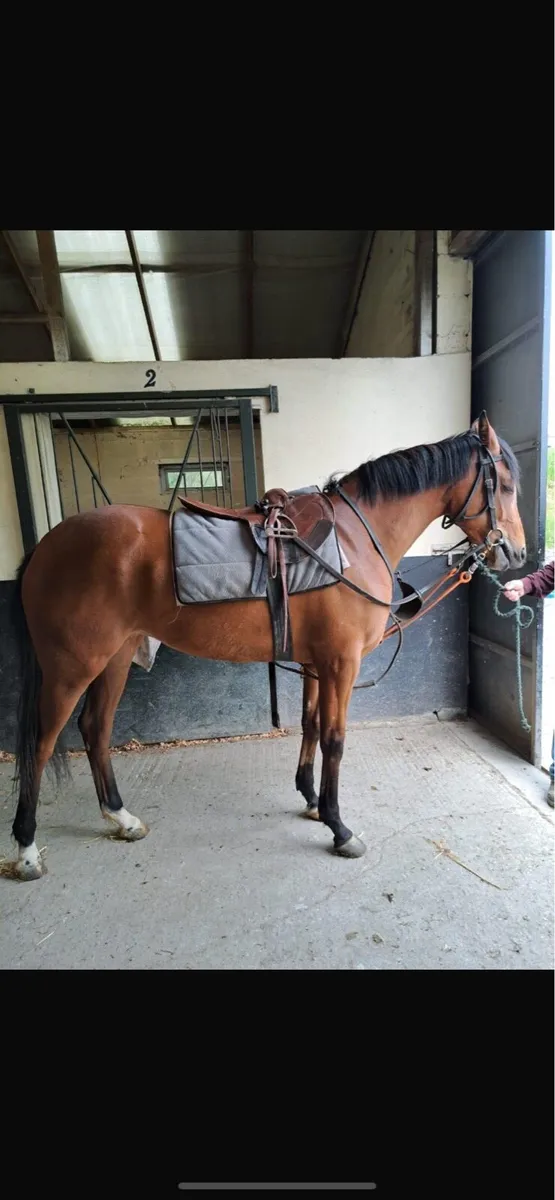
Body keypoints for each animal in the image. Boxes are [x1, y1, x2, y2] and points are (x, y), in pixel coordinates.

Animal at [6, 410, 525, 881]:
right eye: (502, 482)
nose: (516, 553)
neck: (355, 540)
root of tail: (45, 546)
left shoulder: (318, 663)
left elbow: (310, 726)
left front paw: (312, 800)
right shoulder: (341, 664)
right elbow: (335, 739)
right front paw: (339, 828)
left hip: (114, 659)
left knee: (95, 729)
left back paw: (121, 817)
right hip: (72, 667)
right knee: (43, 742)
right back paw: (27, 849)